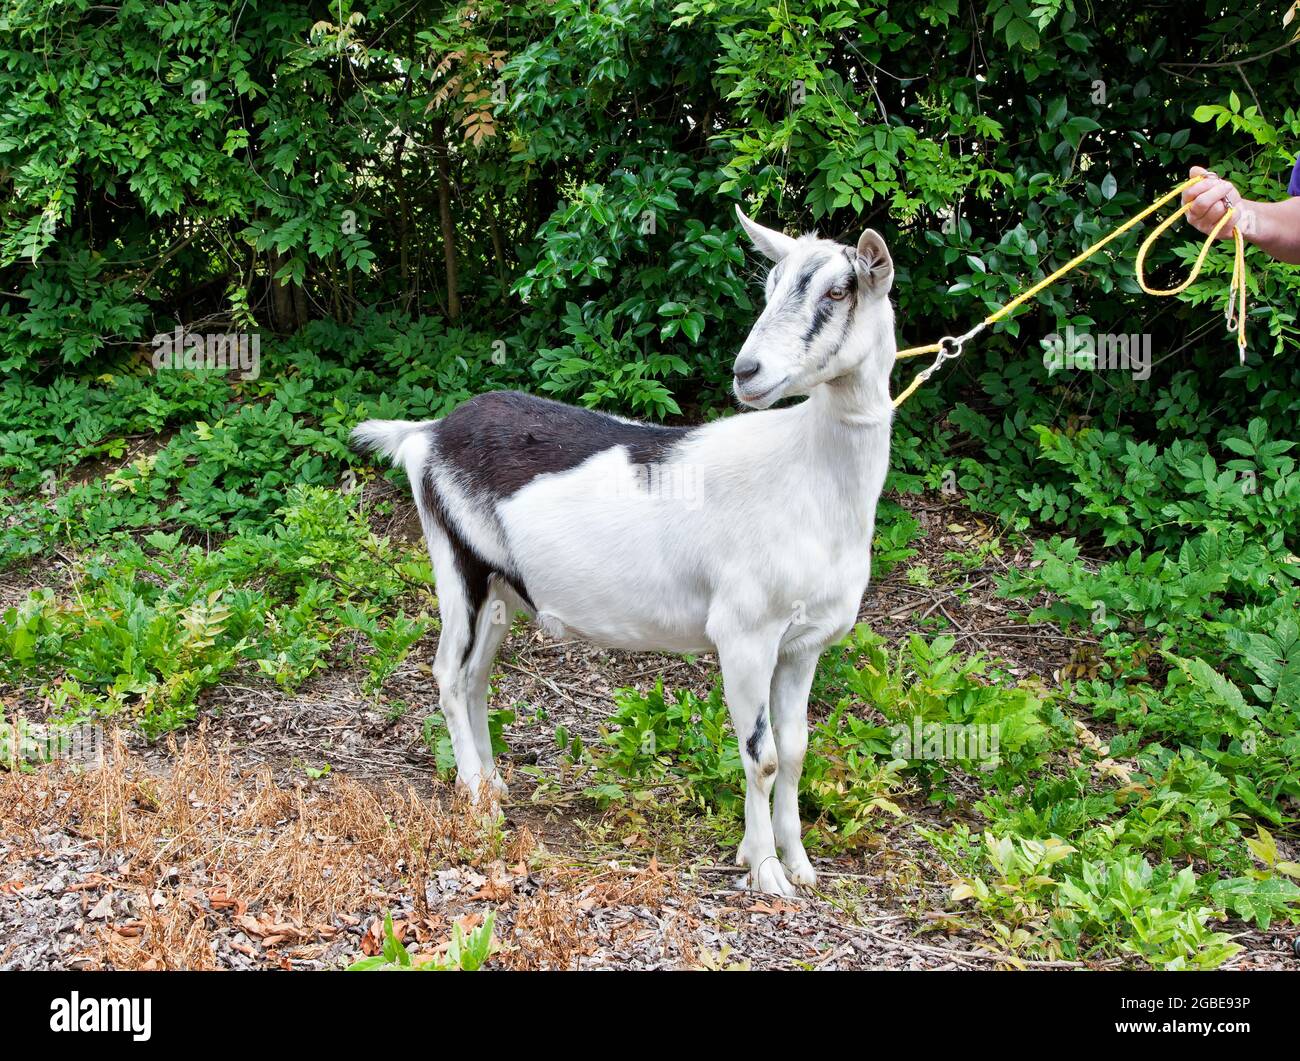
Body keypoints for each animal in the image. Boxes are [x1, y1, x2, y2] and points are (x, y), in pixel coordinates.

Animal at [351, 208, 895, 895]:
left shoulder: (805, 642)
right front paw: (765, 871)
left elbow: (796, 750)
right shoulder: (744, 632)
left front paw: (799, 864)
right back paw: (476, 798)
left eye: (838, 291)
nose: (747, 372)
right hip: (457, 566)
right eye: (770, 286)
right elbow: (762, 756)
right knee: (448, 673)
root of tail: (425, 435)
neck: (806, 474)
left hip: (501, 587)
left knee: (475, 677)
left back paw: (495, 785)